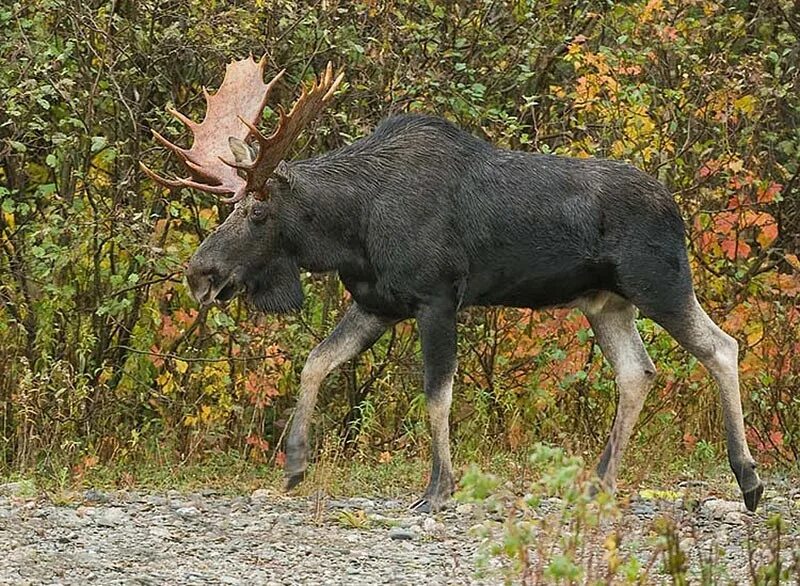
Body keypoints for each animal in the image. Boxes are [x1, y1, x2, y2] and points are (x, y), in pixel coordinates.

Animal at [142, 54, 764, 512]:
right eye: (233, 206)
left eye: (257, 213)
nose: (199, 274)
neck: (352, 228)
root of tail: (677, 209)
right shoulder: (377, 301)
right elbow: (316, 362)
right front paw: (295, 461)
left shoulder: (437, 296)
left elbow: (436, 395)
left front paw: (439, 488)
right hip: (604, 302)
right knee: (638, 372)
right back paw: (599, 483)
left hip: (658, 281)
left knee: (721, 347)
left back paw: (749, 479)